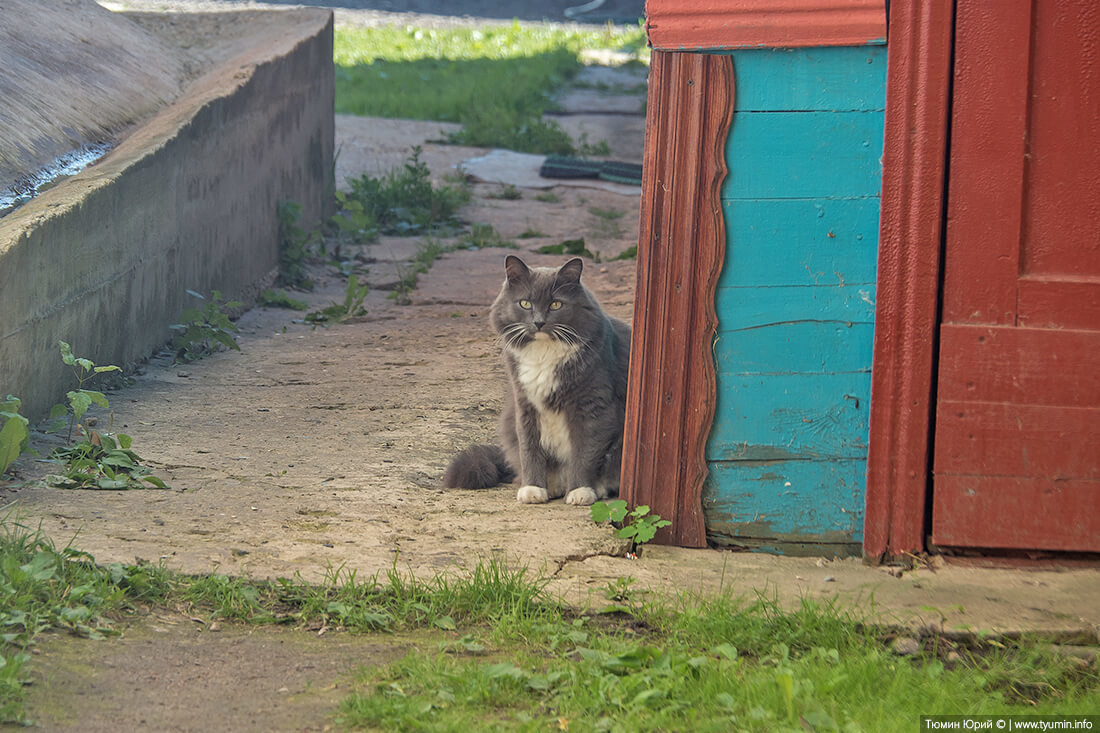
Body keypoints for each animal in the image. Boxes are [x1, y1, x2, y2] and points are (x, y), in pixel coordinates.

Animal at [440, 255, 629, 501]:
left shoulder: (593, 407)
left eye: (556, 304)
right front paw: (533, 489)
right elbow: (529, 450)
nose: (538, 322)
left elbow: (584, 454)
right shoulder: (525, 405)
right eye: (525, 303)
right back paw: (553, 486)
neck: (543, 352)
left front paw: (580, 491)